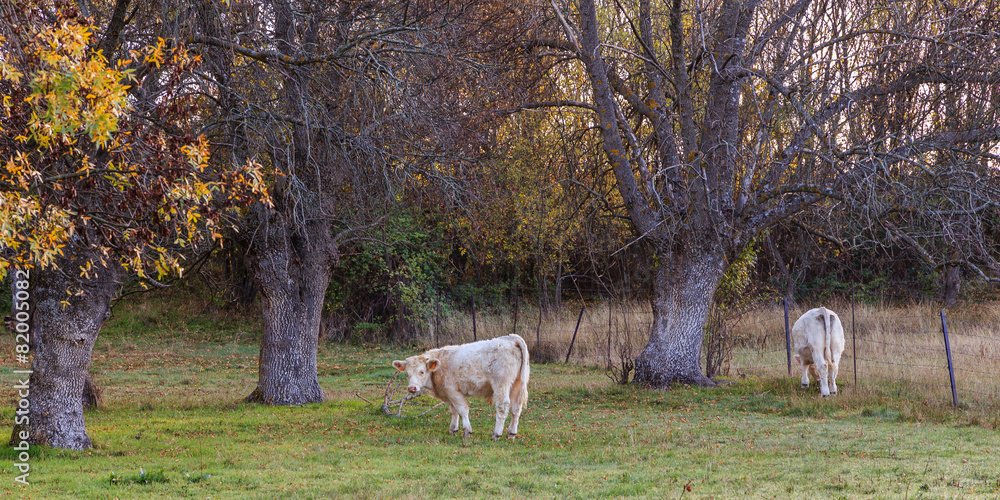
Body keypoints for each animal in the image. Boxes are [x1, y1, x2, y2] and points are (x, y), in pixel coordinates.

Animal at [390, 334, 532, 440]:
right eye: (407, 373)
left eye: (422, 372)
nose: (412, 388)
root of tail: (511, 338)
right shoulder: (448, 393)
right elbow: (454, 411)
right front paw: (453, 429)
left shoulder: (453, 391)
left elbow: (462, 410)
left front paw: (467, 431)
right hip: (517, 384)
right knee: (516, 408)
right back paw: (511, 433)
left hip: (501, 384)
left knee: (503, 407)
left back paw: (496, 434)